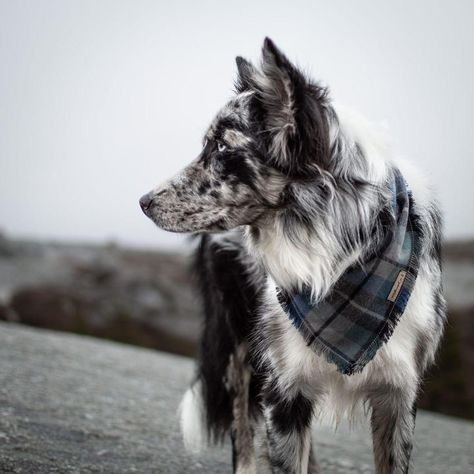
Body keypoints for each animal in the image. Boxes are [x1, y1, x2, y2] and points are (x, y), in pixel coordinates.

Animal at [139, 38, 446, 474]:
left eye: (221, 147)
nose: (144, 202)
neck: (335, 263)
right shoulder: (283, 385)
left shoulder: (398, 394)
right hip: (241, 345)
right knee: (243, 430)